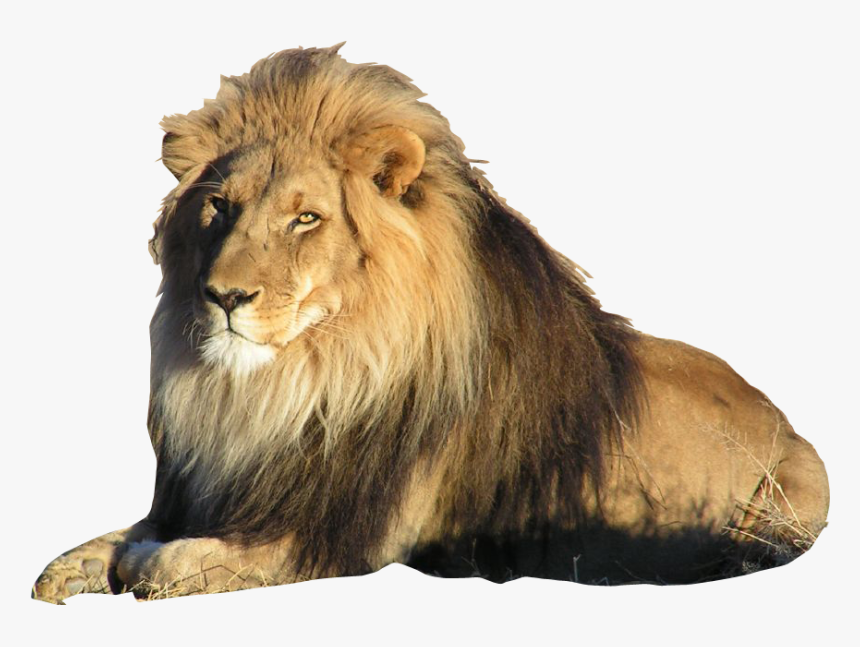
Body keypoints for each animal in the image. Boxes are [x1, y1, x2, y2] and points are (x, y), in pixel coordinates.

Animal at [33, 44, 829, 603]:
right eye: (219, 207)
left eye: (306, 218)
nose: (223, 296)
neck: (291, 385)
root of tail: (784, 416)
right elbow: (119, 534)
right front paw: (69, 566)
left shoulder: (339, 537)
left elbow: (182, 558)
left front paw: (144, 565)